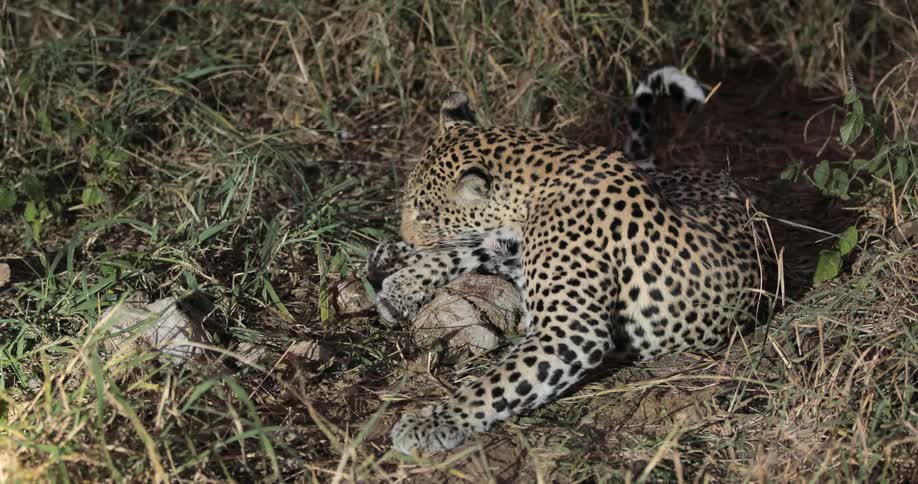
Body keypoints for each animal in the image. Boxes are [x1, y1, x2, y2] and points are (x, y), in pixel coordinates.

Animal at [367, 66, 764, 454]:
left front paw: (432, 423)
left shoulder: (572, 331)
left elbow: (495, 384)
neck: (544, 175)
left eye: (425, 214)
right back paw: (393, 272)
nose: (407, 234)